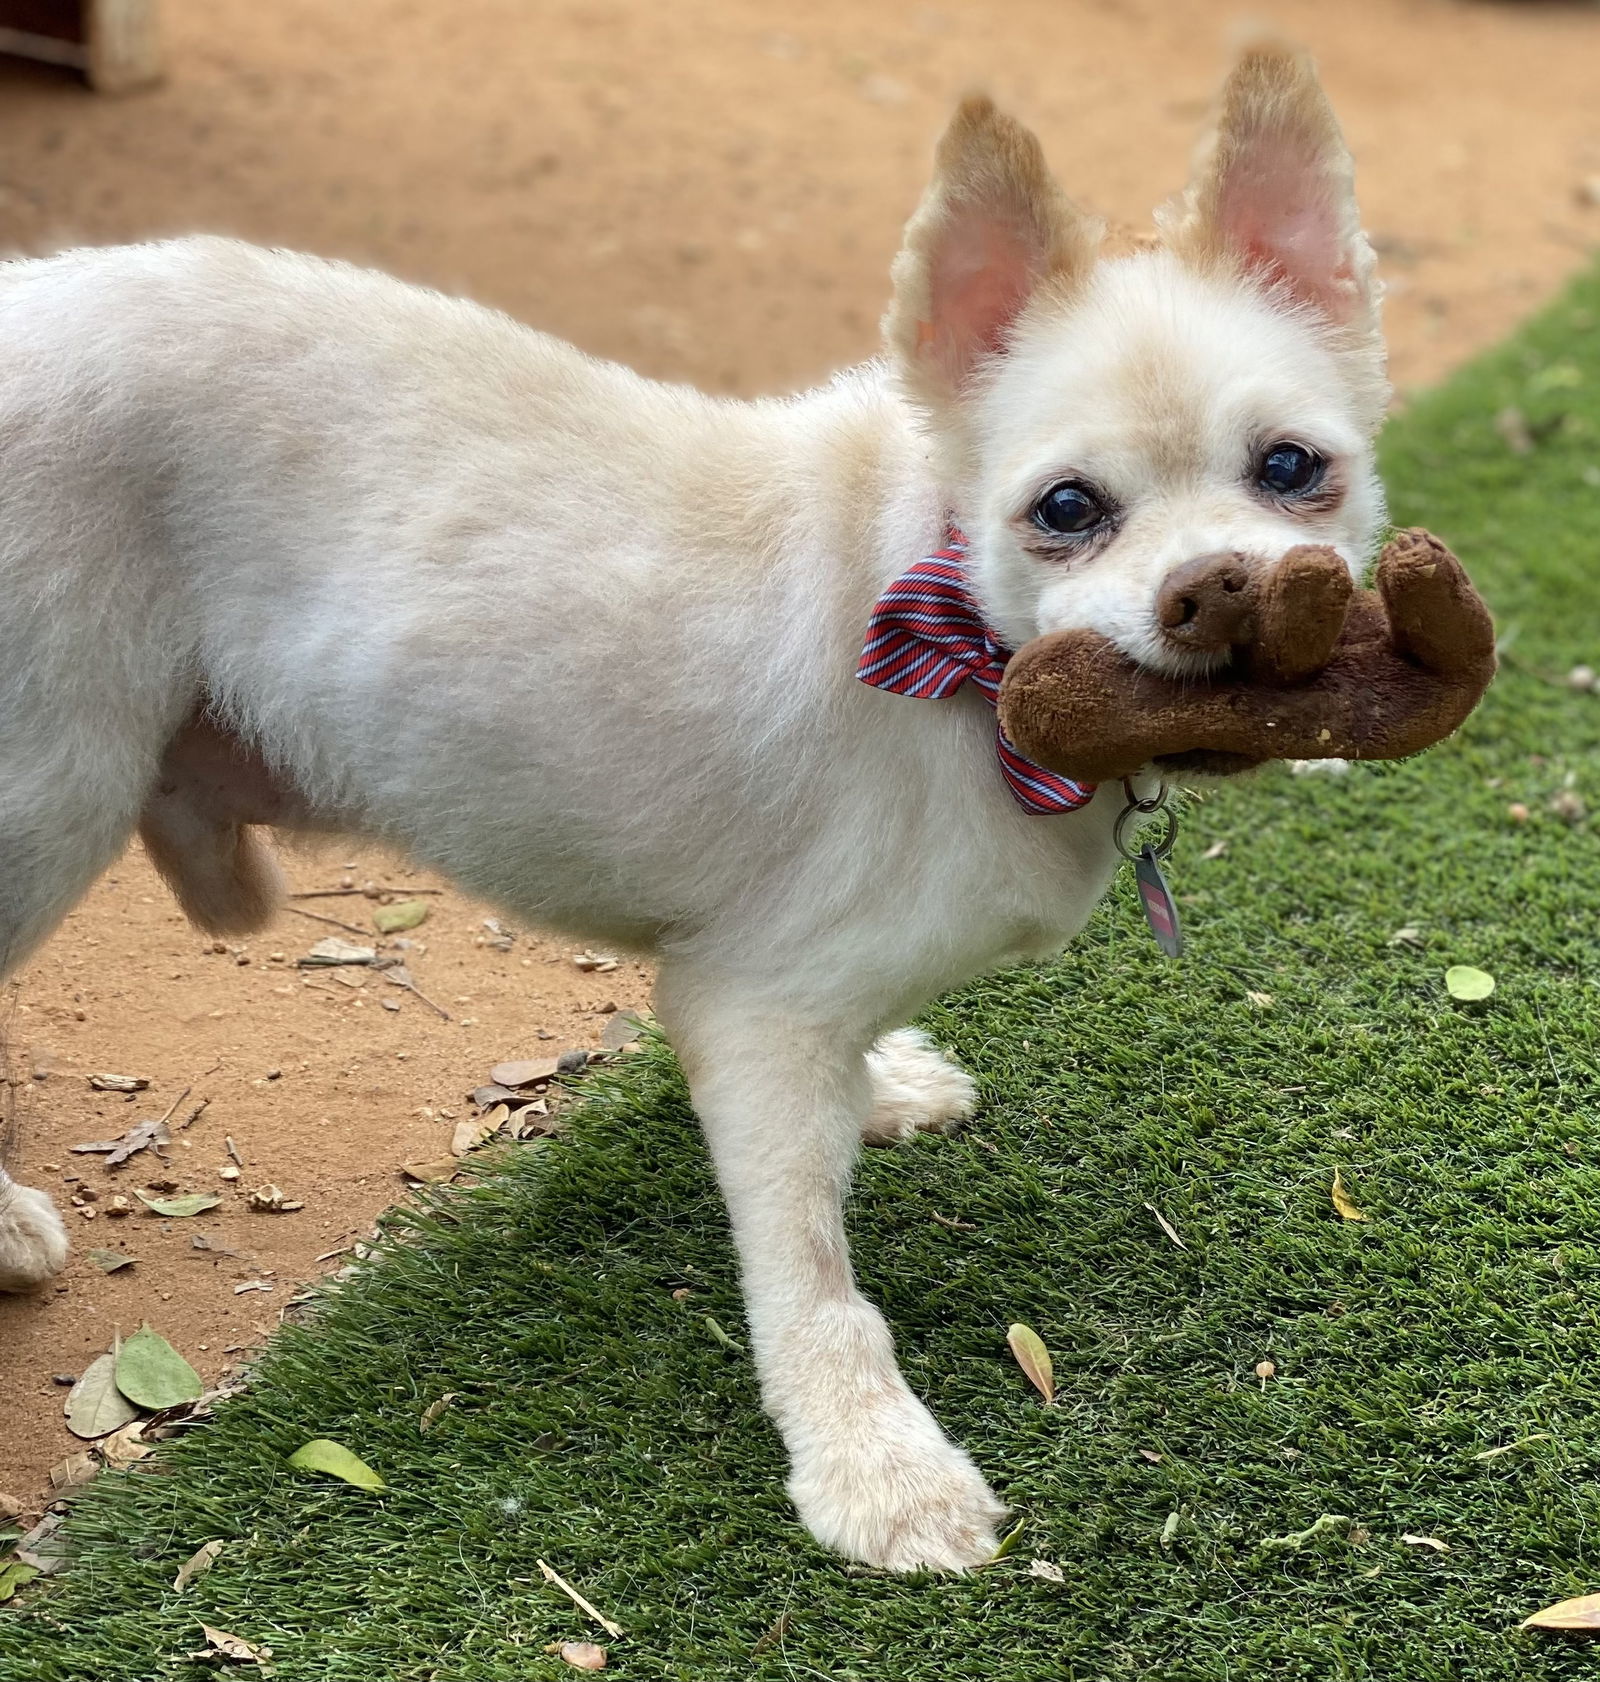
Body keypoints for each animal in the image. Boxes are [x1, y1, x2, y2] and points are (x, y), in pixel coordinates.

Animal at [0, 49, 1386, 1574]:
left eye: (1289, 467)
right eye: (1067, 506)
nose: (1220, 589)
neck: (960, 643)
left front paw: (887, 1087)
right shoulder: (754, 1006)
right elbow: (816, 1280)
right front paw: (877, 1470)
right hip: (43, 792)